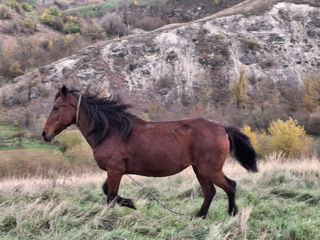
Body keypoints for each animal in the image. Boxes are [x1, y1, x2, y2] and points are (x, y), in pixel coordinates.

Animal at [42, 85, 258, 218]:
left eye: (57, 107)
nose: (45, 134)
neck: (112, 131)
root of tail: (221, 128)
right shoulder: (116, 171)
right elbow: (107, 192)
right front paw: (130, 203)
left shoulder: (115, 170)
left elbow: (110, 196)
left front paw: (123, 208)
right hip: (200, 170)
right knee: (210, 192)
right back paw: (199, 217)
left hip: (209, 169)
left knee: (230, 186)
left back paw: (232, 214)